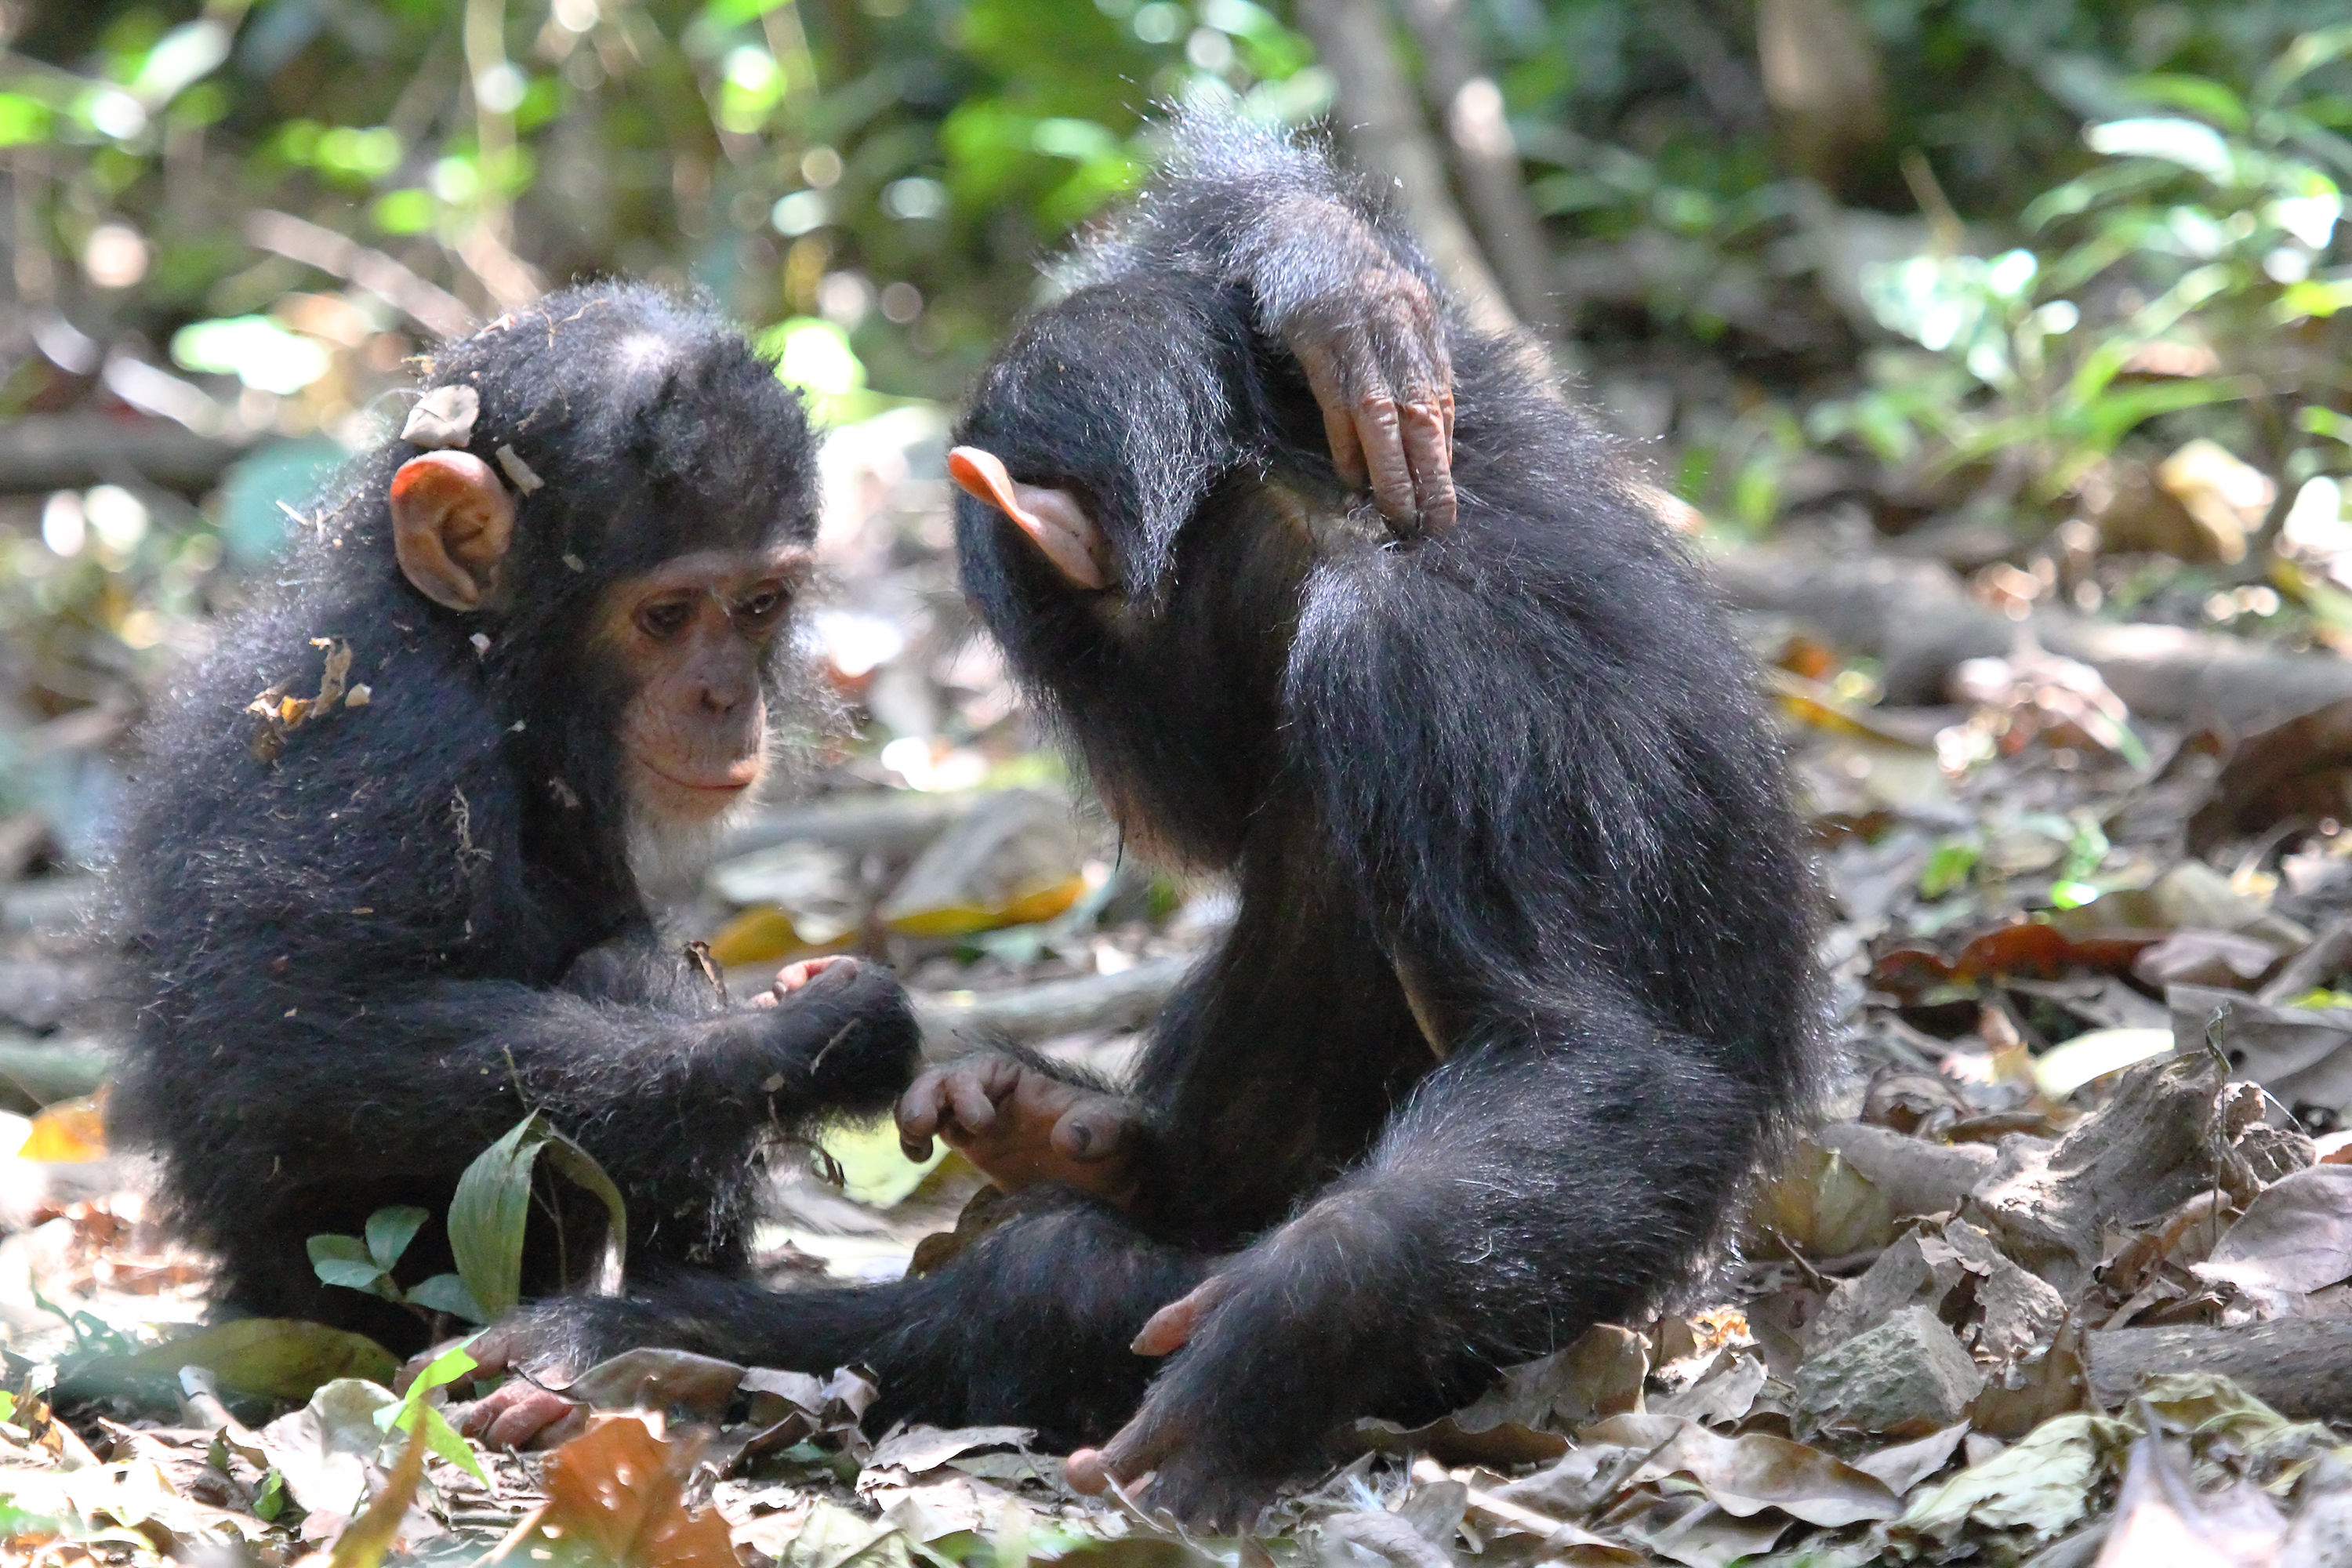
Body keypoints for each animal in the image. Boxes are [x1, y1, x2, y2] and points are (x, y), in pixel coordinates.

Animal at [111, 288, 922, 1354]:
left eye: (758, 603)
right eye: (667, 616)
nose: (722, 694)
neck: (482, 660)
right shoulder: (395, 748)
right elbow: (298, 1040)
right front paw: (810, 1035)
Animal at [463, 119, 1816, 1523]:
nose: (1115, 781)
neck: (1336, 529)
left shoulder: (1411, 674)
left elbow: (1590, 1061)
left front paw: (1283, 1331)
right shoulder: (1486, 416)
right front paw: (1339, 294)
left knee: (1059, 1277)